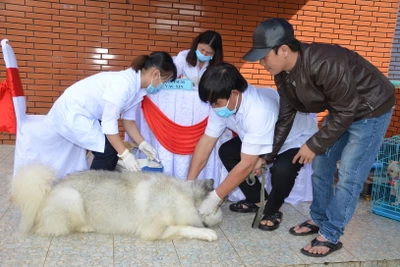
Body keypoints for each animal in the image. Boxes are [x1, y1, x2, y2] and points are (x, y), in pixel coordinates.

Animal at [10, 164, 222, 242]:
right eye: (218, 207)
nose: (221, 212)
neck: (184, 194)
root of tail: (47, 191)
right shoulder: (154, 231)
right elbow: (185, 227)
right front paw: (206, 233)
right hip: (72, 197)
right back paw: (87, 227)